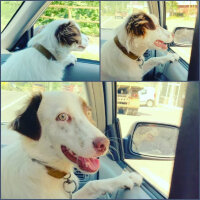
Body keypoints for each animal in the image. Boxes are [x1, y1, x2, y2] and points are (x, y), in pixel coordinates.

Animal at [1, 91, 142, 199]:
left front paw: (126, 177)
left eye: (88, 112)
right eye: (62, 116)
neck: (45, 168)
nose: (105, 144)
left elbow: (92, 184)